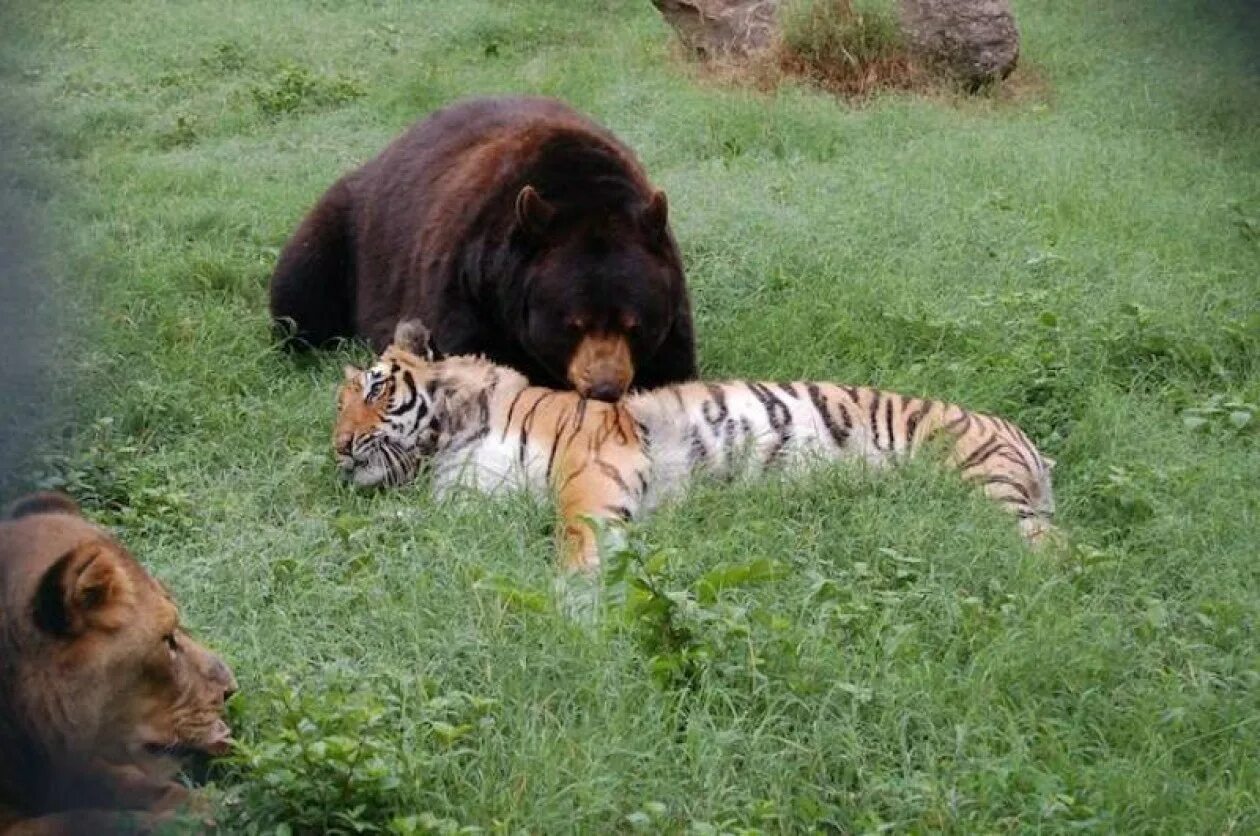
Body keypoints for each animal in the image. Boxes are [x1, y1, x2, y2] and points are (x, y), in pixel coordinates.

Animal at [0, 494, 236, 832]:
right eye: (167, 640)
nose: (231, 689)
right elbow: (93, 819)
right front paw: (190, 821)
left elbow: (131, 782)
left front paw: (205, 802)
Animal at [270, 94, 700, 403]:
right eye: (573, 324)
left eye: (635, 325)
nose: (605, 388)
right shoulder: (469, 283)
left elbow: (673, 367)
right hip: (347, 230)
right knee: (301, 288)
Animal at [335, 322, 1053, 572]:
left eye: (374, 386)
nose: (338, 447)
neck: (453, 435)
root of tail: (1025, 437)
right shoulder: (466, 499)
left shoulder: (594, 459)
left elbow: (579, 530)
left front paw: (578, 600)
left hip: (988, 492)